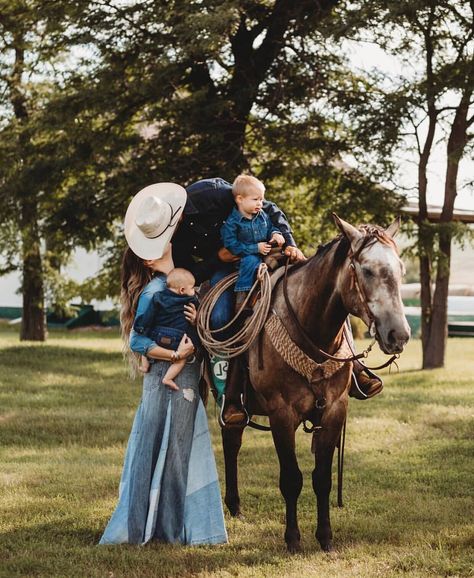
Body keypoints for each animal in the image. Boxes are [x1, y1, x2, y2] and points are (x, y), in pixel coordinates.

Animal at [221, 214, 412, 552]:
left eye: (401, 269)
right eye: (366, 270)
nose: (398, 335)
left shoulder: (335, 411)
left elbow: (322, 477)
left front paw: (325, 537)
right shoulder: (282, 414)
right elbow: (291, 478)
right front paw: (293, 539)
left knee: (233, 441)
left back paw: (235, 506)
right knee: (229, 438)